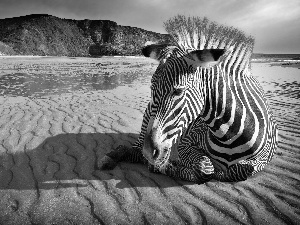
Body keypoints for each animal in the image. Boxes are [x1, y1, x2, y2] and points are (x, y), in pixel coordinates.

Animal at [98, 16, 278, 185]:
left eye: (178, 91)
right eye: (151, 88)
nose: (150, 152)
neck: (230, 135)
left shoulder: (263, 159)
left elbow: (241, 170)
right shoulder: (185, 144)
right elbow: (206, 169)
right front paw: (165, 167)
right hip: (147, 124)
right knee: (133, 150)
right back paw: (113, 158)